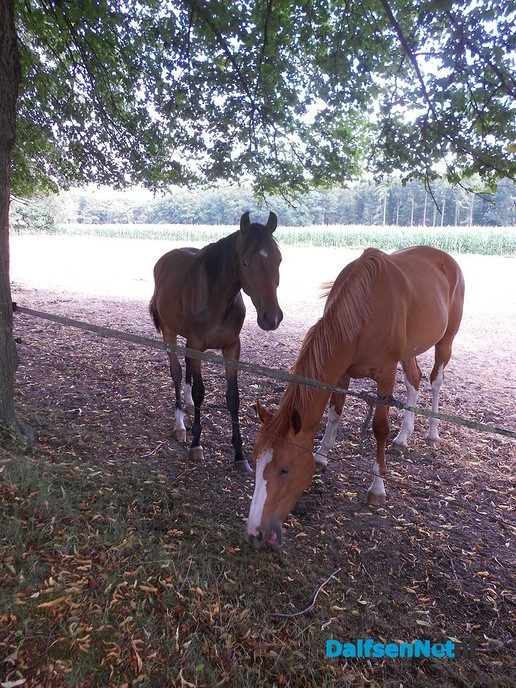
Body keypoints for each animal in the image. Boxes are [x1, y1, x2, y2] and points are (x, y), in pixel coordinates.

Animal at [150, 211, 283, 474]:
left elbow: (233, 397)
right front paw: (196, 444)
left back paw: (188, 406)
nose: (271, 318)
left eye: (279, 260)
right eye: (245, 262)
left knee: (187, 371)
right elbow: (200, 391)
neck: (216, 298)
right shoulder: (196, 345)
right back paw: (180, 424)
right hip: (170, 333)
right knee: (177, 372)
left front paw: (240, 455)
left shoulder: (232, 348)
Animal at [246, 245, 464, 548]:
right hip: (409, 351)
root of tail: (445, 257)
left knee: (435, 382)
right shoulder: (342, 373)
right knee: (414, 380)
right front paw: (322, 456)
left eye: (285, 470)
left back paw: (432, 432)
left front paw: (377, 487)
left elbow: (380, 428)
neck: (366, 308)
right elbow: (334, 413)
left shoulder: (386, 375)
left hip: (446, 340)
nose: (254, 532)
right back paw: (403, 437)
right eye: (255, 460)